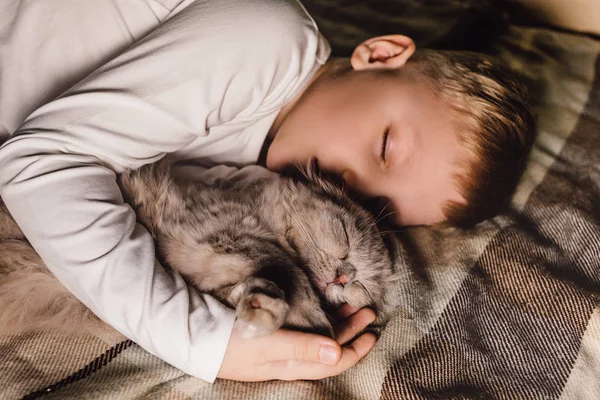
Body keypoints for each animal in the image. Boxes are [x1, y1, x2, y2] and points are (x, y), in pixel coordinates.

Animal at [0, 159, 394, 338]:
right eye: (344, 238)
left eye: (362, 286)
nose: (344, 277)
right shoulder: (214, 235)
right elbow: (287, 267)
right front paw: (305, 318)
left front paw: (260, 306)